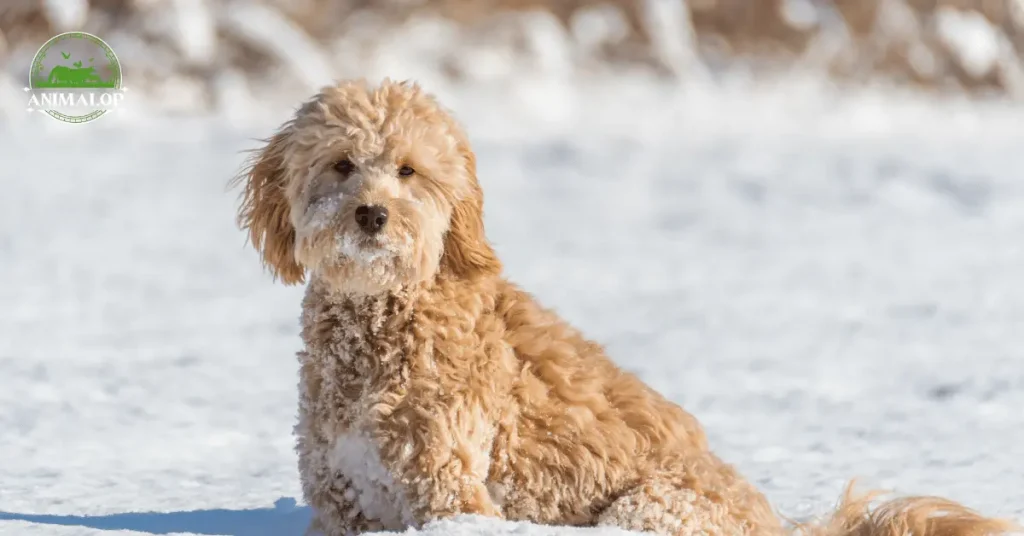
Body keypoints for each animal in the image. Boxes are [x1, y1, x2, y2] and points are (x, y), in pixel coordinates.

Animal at [234, 79, 1015, 536]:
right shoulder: (342, 496)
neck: (384, 321)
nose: (372, 215)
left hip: (648, 508)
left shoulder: (449, 490)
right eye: (341, 164)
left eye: (408, 171)